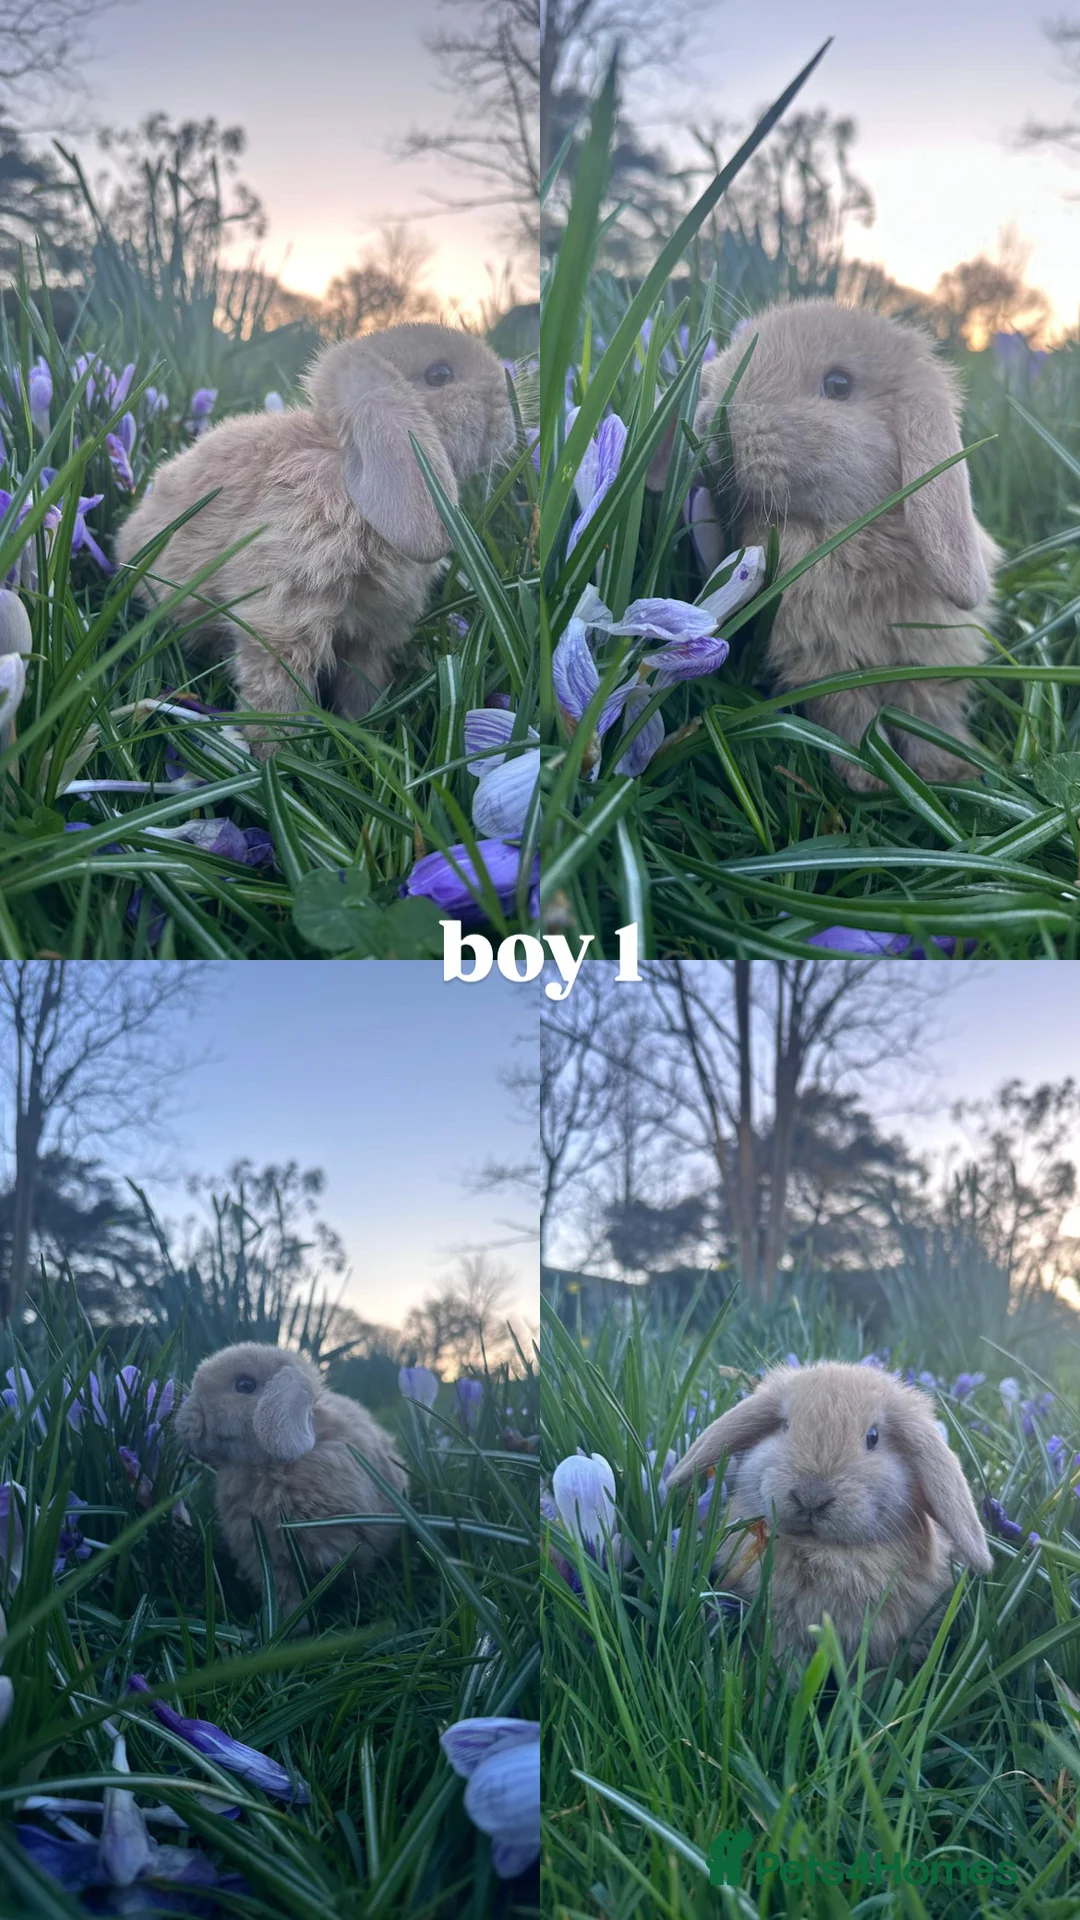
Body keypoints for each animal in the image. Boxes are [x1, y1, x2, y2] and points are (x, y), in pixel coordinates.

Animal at [115, 324, 515, 745]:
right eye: (440, 374)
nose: (509, 409)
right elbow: (277, 695)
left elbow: (362, 683)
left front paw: (362, 729)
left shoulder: (370, 637)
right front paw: (272, 750)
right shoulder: (281, 617)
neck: (348, 471)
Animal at [173, 1342, 408, 1613]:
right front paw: (290, 1623)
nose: (185, 1419)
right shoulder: (268, 1560)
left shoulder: (349, 1545)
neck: (273, 1467)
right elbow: (288, 1599)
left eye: (245, 1385)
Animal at [650, 301, 1001, 791]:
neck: (844, 533)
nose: (711, 418)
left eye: (838, 385)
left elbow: (928, 715)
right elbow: (849, 715)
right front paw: (868, 777)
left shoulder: (930, 658)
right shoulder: (821, 662)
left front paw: (951, 771)